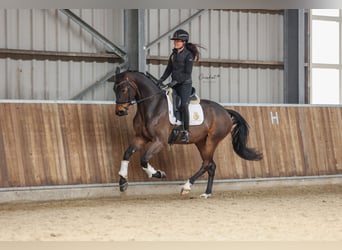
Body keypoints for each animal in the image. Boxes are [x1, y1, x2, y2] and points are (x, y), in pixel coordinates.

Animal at [112, 68, 262, 197]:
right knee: (211, 165)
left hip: (212, 140)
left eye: (124, 89)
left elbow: (143, 159)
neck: (152, 106)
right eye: (114, 89)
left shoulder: (159, 141)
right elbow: (127, 154)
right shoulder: (140, 137)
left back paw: (186, 186)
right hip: (201, 142)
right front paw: (123, 181)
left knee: (206, 164)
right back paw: (206, 193)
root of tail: (225, 111)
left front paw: (158, 174)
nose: (120, 111)